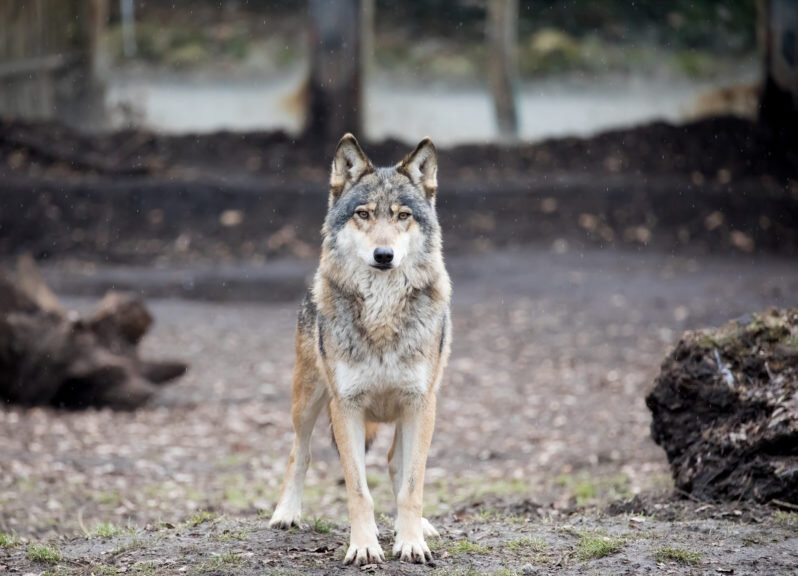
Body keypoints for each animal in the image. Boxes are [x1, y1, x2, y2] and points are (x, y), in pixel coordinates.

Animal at [272, 133, 454, 564]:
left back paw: (419, 527)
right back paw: (286, 513)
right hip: (307, 401)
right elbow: (358, 489)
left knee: (394, 464)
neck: (382, 314)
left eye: (403, 216)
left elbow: (413, 484)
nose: (383, 255)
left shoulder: (420, 403)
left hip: (416, 409)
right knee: (299, 453)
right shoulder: (346, 406)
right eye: (364, 215)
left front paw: (411, 542)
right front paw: (364, 546)